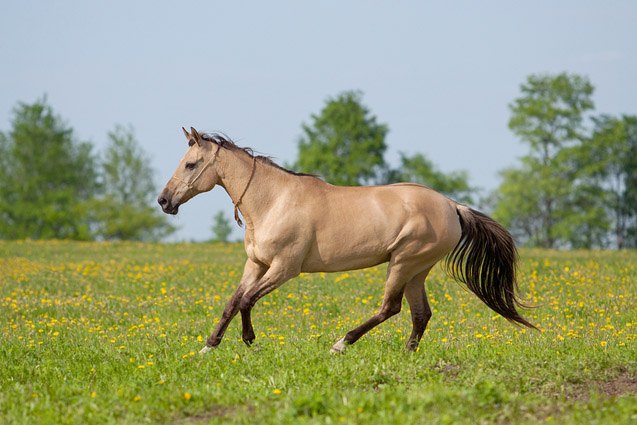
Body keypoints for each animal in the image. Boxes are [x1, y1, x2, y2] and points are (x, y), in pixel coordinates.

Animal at [158, 127, 532, 352]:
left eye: (191, 164)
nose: (164, 201)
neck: (274, 201)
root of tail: (453, 206)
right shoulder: (257, 263)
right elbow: (233, 302)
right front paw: (208, 346)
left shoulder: (284, 268)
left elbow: (248, 301)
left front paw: (251, 341)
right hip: (417, 270)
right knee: (420, 314)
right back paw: (408, 354)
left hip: (403, 262)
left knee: (391, 308)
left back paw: (341, 344)